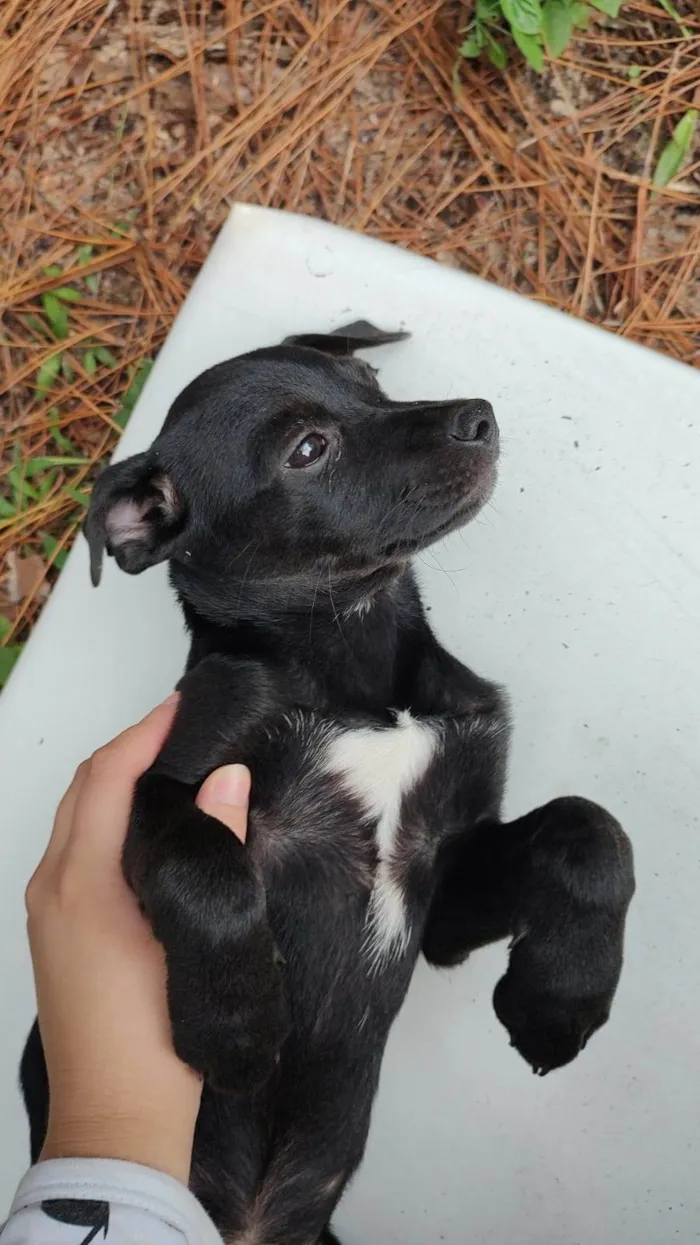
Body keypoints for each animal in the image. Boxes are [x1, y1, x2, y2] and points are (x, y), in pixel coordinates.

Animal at [20, 323, 632, 1245]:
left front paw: (558, 1000)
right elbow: (204, 867)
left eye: (370, 379)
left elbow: (589, 829)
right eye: (308, 450)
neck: (356, 659)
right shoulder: (163, 789)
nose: (479, 416)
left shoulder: (440, 887)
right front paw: (237, 1025)